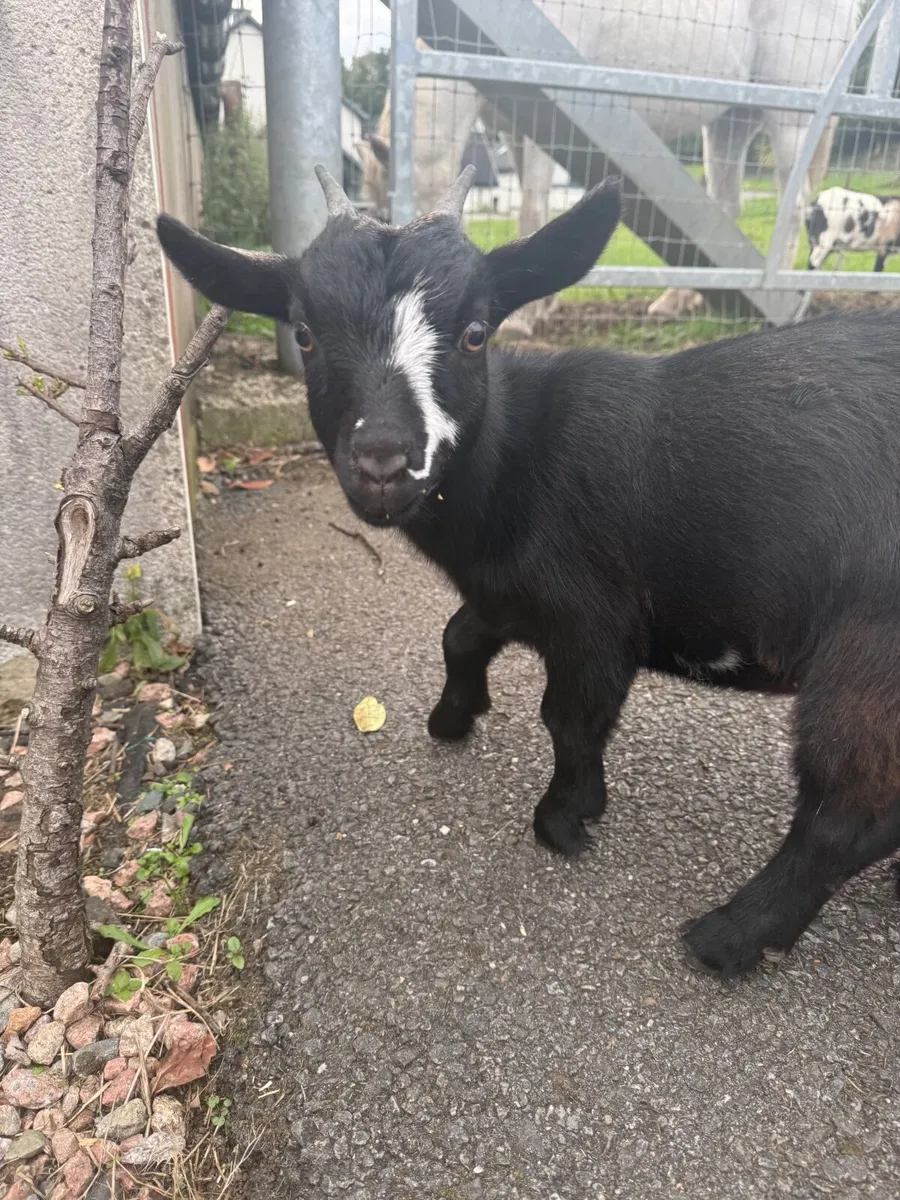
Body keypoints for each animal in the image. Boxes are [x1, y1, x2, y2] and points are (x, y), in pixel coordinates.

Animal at [157, 167, 900, 979]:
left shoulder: (594, 619)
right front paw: (453, 717)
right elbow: (459, 635)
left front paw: (567, 817)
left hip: (869, 657)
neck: (517, 462)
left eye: (476, 332)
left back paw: (730, 935)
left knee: (847, 814)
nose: (384, 463)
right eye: (304, 331)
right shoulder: (512, 591)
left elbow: (570, 717)